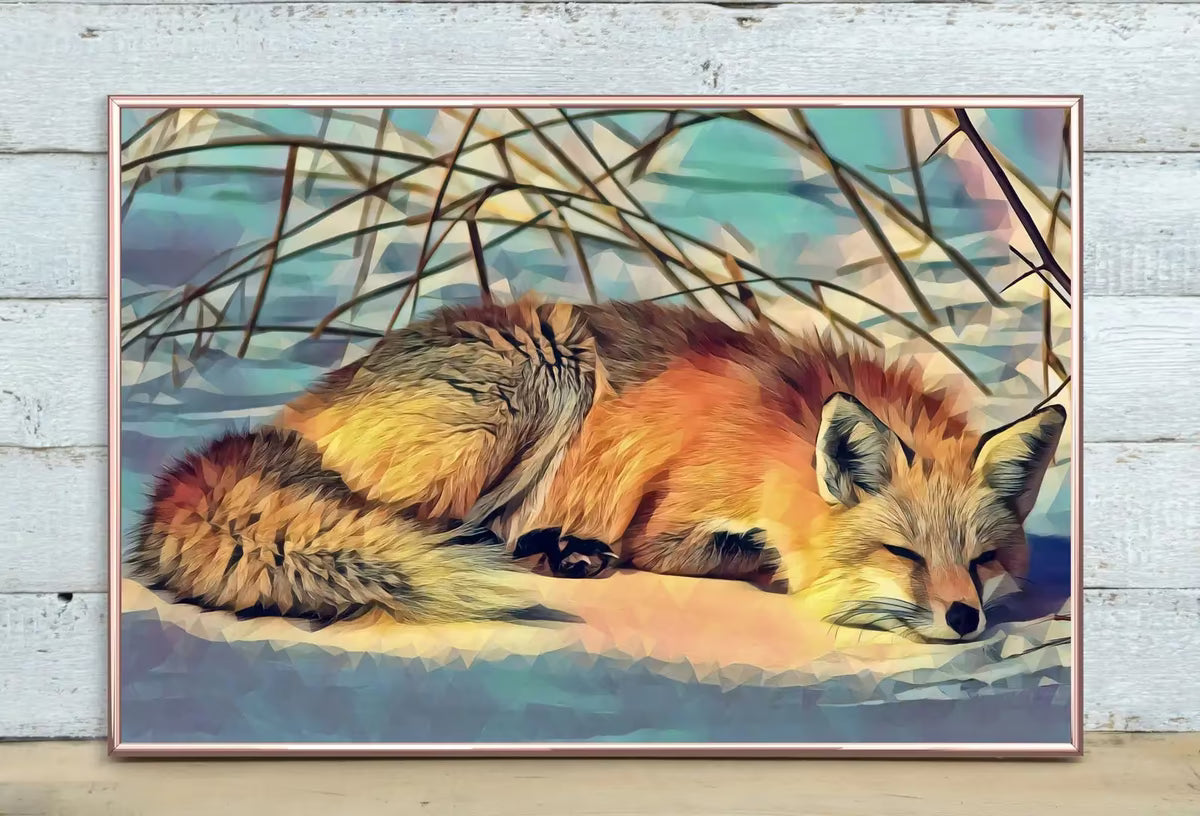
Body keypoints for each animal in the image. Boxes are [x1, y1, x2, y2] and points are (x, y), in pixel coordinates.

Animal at [128, 298, 1065, 641]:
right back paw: (549, 552)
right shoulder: (668, 519)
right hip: (542, 381)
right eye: (903, 555)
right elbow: (745, 560)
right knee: (423, 527)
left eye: (983, 560)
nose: (965, 621)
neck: (780, 444)